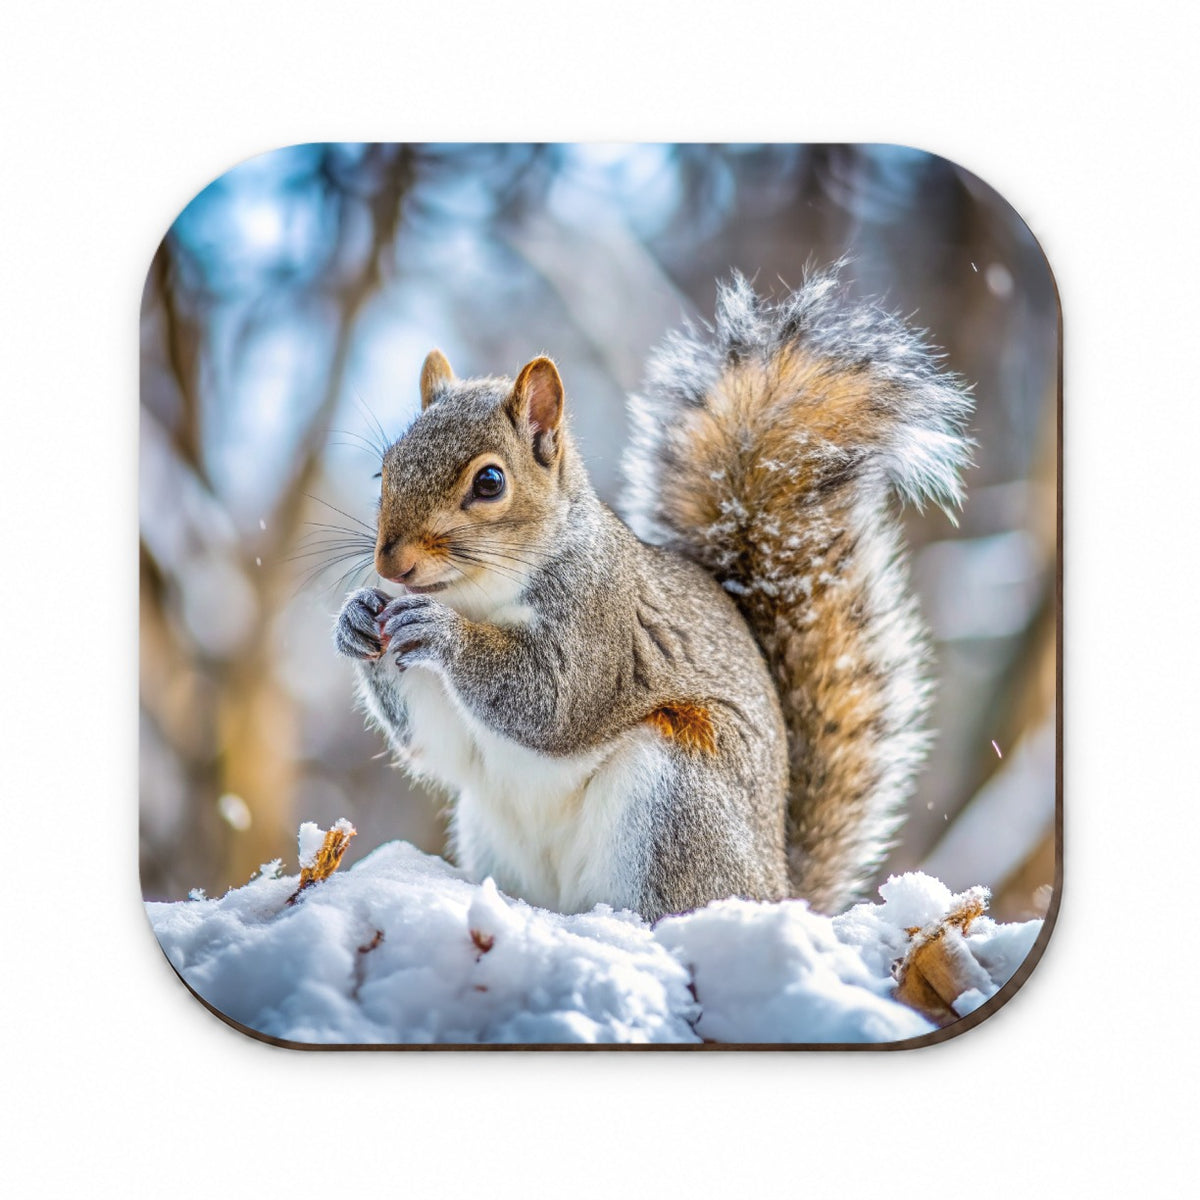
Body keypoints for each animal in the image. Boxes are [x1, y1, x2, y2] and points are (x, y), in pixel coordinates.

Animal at [333, 269, 972, 922]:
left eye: (490, 482)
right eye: (385, 469)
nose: (390, 564)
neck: (477, 596)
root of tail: (779, 892)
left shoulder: (602, 622)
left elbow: (553, 701)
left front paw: (442, 633)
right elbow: (434, 742)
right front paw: (356, 618)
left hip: (676, 794)